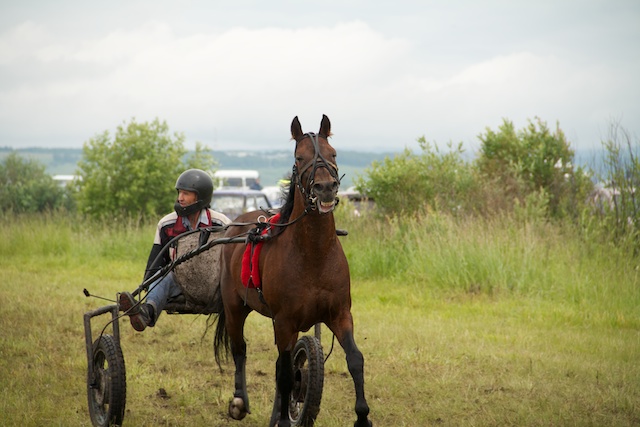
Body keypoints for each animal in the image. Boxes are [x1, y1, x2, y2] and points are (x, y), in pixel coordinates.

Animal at [212, 115, 372, 426]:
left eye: (333, 153)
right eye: (300, 157)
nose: (326, 187)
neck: (314, 255)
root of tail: (238, 223)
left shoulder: (339, 314)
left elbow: (355, 360)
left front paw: (362, 417)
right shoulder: (285, 322)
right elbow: (286, 375)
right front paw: (284, 418)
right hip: (235, 307)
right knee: (240, 350)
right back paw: (240, 401)